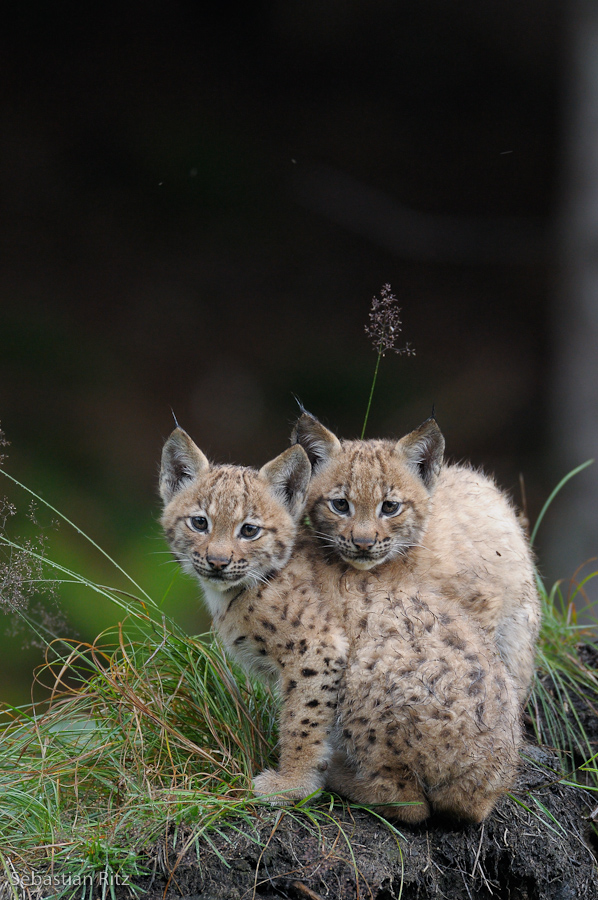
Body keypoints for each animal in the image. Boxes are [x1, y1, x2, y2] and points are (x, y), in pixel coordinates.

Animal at [162, 428, 524, 824]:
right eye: (199, 523)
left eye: (249, 530)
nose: (217, 562)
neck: (238, 588)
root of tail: (489, 784)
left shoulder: (318, 650)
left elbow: (302, 720)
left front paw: (292, 785)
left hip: (366, 671)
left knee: (411, 803)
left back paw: (340, 778)